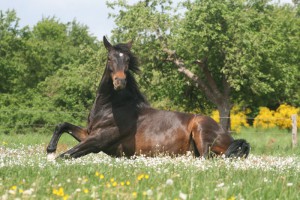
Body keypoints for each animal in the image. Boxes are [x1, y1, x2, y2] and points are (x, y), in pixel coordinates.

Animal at [45, 36, 250, 159]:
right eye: (110, 58)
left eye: (127, 60)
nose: (120, 82)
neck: (112, 108)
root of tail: (231, 138)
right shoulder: (88, 134)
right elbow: (62, 125)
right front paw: (50, 149)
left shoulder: (97, 141)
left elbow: (65, 155)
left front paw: (50, 158)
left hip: (200, 130)